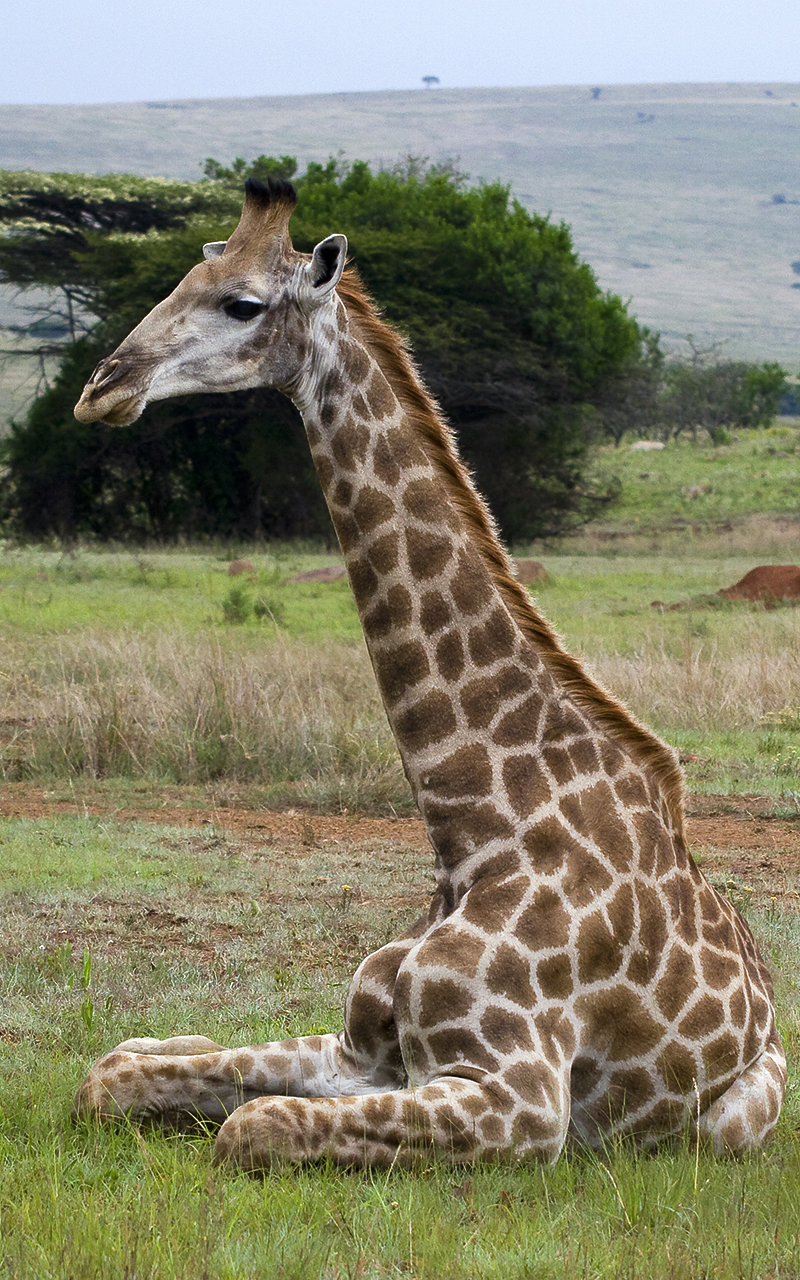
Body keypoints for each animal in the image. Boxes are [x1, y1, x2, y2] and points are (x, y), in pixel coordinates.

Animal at [72, 178, 786, 1171]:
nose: (104, 387)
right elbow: (109, 1077)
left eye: (241, 303)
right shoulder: (358, 1051)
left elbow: (252, 1127)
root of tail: (769, 996)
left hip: (729, 1122)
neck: (475, 830)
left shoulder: (521, 1102)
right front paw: (158, 1054)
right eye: (183, 276)